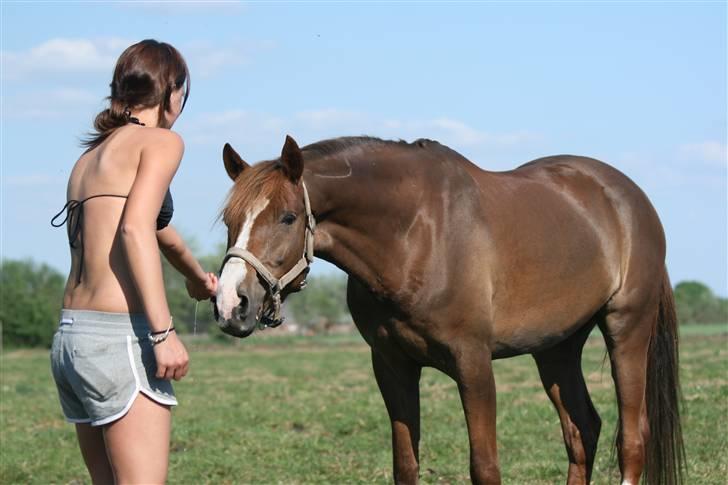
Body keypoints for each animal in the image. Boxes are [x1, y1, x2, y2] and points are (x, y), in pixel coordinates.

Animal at [214, 135, 684, 485]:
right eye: (229, 221)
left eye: (288, 217)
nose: (231, 303)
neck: (415, 235)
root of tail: (632, 199)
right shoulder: (392, 365)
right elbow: (406, 465)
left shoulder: (473, 362)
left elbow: (484, 468)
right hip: (556, 347)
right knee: (582, 430)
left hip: (627, 329)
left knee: (631, 440)